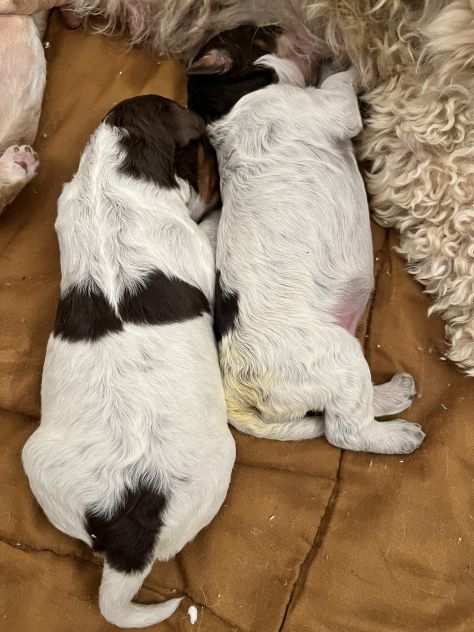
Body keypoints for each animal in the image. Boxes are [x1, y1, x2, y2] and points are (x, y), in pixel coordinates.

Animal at [21, 95, 236, 628]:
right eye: (200, 150)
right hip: (218, 465)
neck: (107, 179)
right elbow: (204, 226)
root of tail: (128, 537)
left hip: (38, 464)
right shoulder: (195, 244)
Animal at [186, 29, 426, 454]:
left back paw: (394, 394)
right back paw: (399, 434)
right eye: (260, 32)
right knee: (345, 428)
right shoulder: (329, 108)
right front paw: (350, 57)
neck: (231, 102)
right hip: (337, 356)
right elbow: (341, 84)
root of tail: (237, 390)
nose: (292, 29)